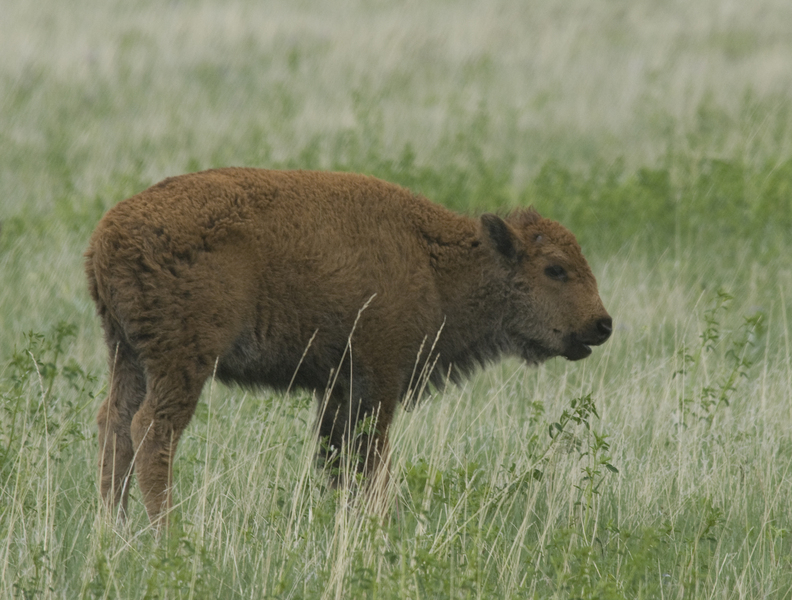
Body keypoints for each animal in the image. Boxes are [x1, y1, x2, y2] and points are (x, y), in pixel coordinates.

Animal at [85, 168, 612, 524]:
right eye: (556, 268)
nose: (602, 324)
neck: (434, 263)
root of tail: (107, 238)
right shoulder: (377, 382)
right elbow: (369, 459)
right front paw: (380, 523)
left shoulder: (336, 390)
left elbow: (337, 460)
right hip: (182, 363)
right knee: (151, 431)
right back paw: (166, 533)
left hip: (127, 355)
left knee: (115, 426)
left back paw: (113, 531)